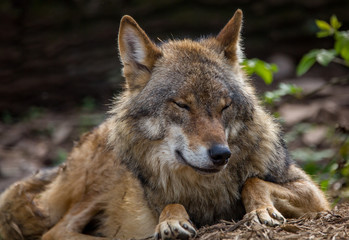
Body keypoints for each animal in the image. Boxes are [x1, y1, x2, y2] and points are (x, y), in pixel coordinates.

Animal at [0, 9, 328, 240]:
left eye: (224, 106)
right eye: (182, 105)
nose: (221, 154)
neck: (205, 189)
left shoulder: (316, 197)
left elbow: (253, 181)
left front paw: (261, 211)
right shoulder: (158, 200)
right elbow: (172, 204)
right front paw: (172, 221)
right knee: (57, 231)